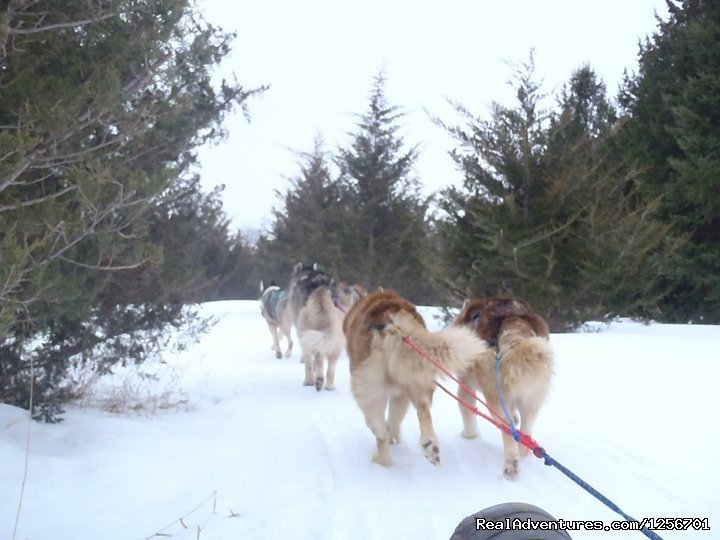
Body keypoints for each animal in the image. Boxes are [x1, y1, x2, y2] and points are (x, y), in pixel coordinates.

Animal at [284, 260, 358, 388]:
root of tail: (321, 289)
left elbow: (309, 361)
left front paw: (309, 379)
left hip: (306, 330)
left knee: (317, 358)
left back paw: (314, 380)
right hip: (336, 337)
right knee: (331, 365)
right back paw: (329, 386)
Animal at [344, 288, 490, 466]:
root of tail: (392, 316)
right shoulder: (400, 395)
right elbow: (395, 419)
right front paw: (394, 435)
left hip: (373, 392)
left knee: (380, 434)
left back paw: (382, 460)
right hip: (418, 380)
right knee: (423, 409)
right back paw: (429, 445)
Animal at [452, 298, 556, 478]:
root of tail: (512, 317)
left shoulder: (466, 384)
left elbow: (467, 410)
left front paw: (469, 435)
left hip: (494, 397)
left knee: (508, 429)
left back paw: (511, 464)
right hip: (532, 399)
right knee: (525, 429)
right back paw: (523, 450)